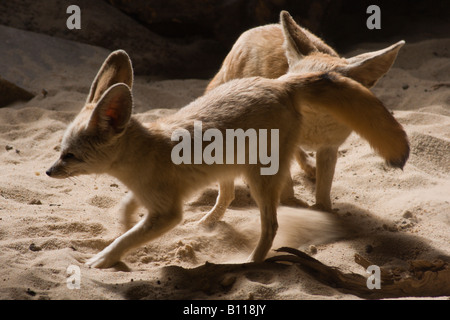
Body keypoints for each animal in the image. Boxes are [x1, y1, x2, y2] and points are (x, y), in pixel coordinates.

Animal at [47, 47, 410, 268]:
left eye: (70, 155)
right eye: (60, 152)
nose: (49, 172)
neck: (145, 151)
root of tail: (280, 84)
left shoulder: (167, 214)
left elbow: (129, 238)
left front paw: (105, 258)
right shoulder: (152, 198)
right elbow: (125, 209)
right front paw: (122, 224)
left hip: (259, 177)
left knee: (271, 225)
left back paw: (251, 263)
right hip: (231, 169)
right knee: (230, 197)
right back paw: (208, 225)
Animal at [200, 10, 404, 225]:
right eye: (290, 79)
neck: (313, 128)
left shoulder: (329, 148)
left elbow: (324, 188)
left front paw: (322, 209)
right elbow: (286, 185)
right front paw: (291, 203)